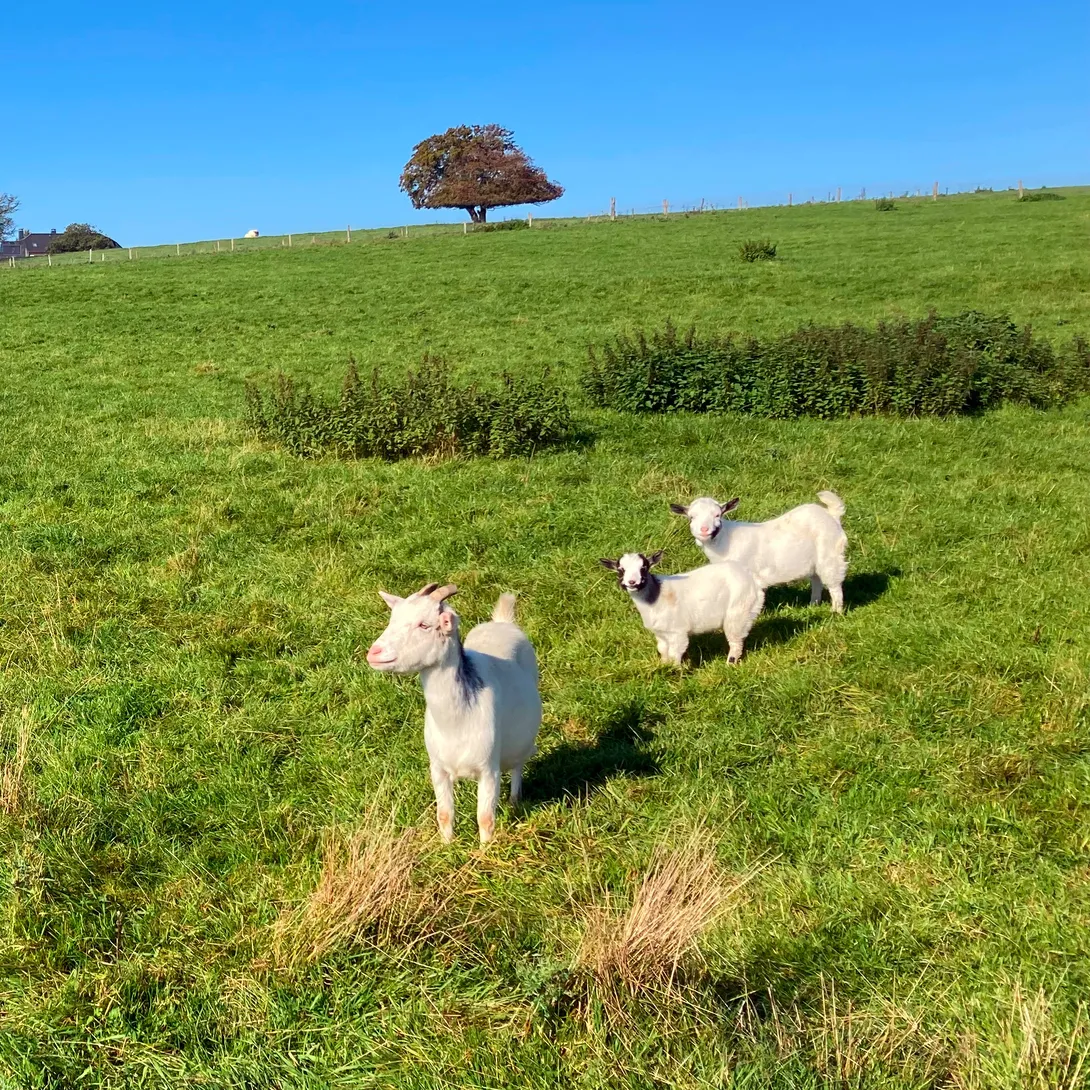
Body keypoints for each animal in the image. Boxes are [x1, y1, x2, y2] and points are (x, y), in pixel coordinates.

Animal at [366, 584, 540, 845]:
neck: (455, 723)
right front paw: (447, 845)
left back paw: (514, 800)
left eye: (424, 625)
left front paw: (485, 850)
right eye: (392, 619)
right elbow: (444, 814)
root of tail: (501, 622)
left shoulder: (489, 769)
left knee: (518, 765)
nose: (374, 652)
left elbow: (485, 818)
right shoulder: (437, 768)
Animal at [597, 553, 767, 662]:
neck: (655, 597)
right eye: (620, 569)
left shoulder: (677, 631)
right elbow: (663, 650)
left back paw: (729, 664)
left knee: (735, 641)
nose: (632, 582)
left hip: (738, 609)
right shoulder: (661, 633)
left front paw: (676, 675)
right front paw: (663, 667)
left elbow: (675, 653)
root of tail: (753, 579)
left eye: (644, 567)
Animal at [662, 492, 850, 614]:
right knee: (817, 580)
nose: (704, 530)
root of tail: (832, 515)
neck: (724, 541)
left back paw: (836, 612)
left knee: (834, 584)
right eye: (691, 517)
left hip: (830, 554)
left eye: (718, 515)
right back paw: (813, 605)